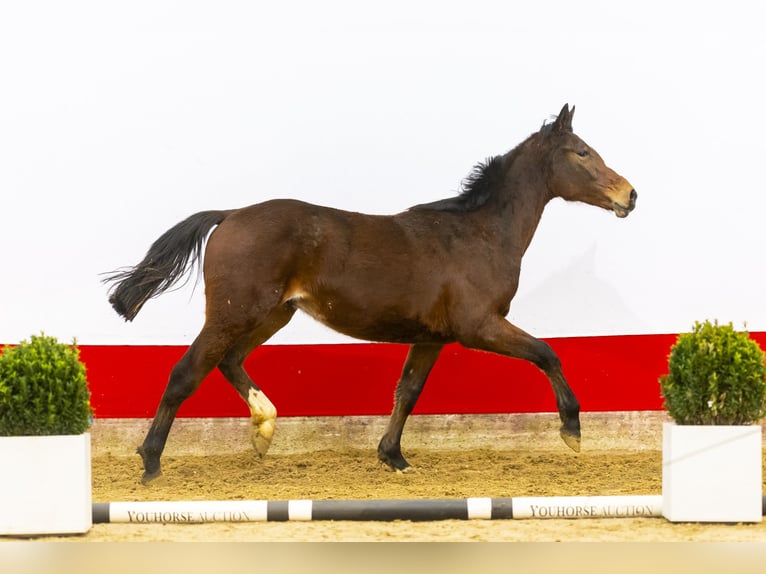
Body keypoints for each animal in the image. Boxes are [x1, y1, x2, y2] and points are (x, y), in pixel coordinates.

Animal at [106, 104, 636, 486]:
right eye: (582, 152)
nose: (629, 195)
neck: (479, 235)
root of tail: (230, 214)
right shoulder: (479, 326)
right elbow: (547, 354)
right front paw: (572, 431)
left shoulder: (432, 336)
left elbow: (408, 391)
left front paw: (393, 457)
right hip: (234, 314)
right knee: (186, 372)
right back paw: (151, 463)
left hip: (273, 315)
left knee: (228, 361)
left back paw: (264, 429)